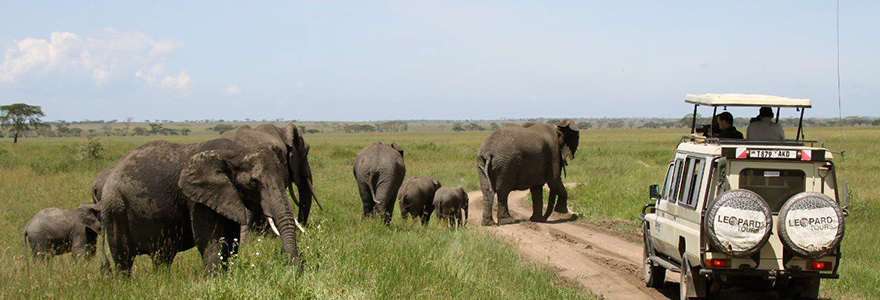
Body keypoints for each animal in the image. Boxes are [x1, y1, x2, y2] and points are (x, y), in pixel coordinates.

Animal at [99, 138, 300, 274]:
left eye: (285, 178)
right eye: (253, 183)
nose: (295, 268)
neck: (236, 152)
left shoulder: (226, 196)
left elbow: (231, 241)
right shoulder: (197, 199)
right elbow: (209, 240)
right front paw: (214, 280)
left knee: (162, 256)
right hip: (115, 208)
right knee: (123, 257)